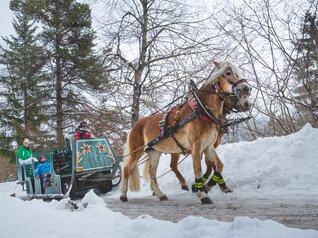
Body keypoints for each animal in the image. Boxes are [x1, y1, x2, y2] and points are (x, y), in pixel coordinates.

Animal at [120, 60, 252, 204]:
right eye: (227, 73)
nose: (247, 89)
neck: (201, 110)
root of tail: (136, 125)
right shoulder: (196, 146)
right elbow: (198, 169)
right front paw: (203, 193)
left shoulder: (208, 147)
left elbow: (219, 165)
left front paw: (208, 186)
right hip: (136, 151)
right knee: (127, 170)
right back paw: (123, 195)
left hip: (154, 152)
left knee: (152, 174)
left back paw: (160, 194)